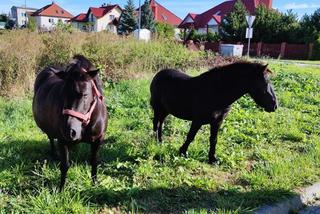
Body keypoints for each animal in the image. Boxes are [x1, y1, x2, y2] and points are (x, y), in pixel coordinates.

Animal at [33, 54, 107, 190]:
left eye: (85, 94)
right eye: (62, 93)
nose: (69, 131)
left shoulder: (98, 140)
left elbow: (94, 162)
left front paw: (94, 184)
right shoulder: (62, 141)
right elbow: (65, 165)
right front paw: (61, 189)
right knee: (50, 137)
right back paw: (54, 154)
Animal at [150, 61, 278, 164]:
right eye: (265, 83)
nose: (274, 105)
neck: (216, 92)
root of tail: (159, 74)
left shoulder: (217, 121)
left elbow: (213, 139)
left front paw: (212, 159)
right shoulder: (198, 120)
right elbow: (190, 137)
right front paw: (182, 152)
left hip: (166, 110)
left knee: (161, 123)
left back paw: (160, 141)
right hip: (158, 108)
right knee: (156, 123)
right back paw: (155, 142)